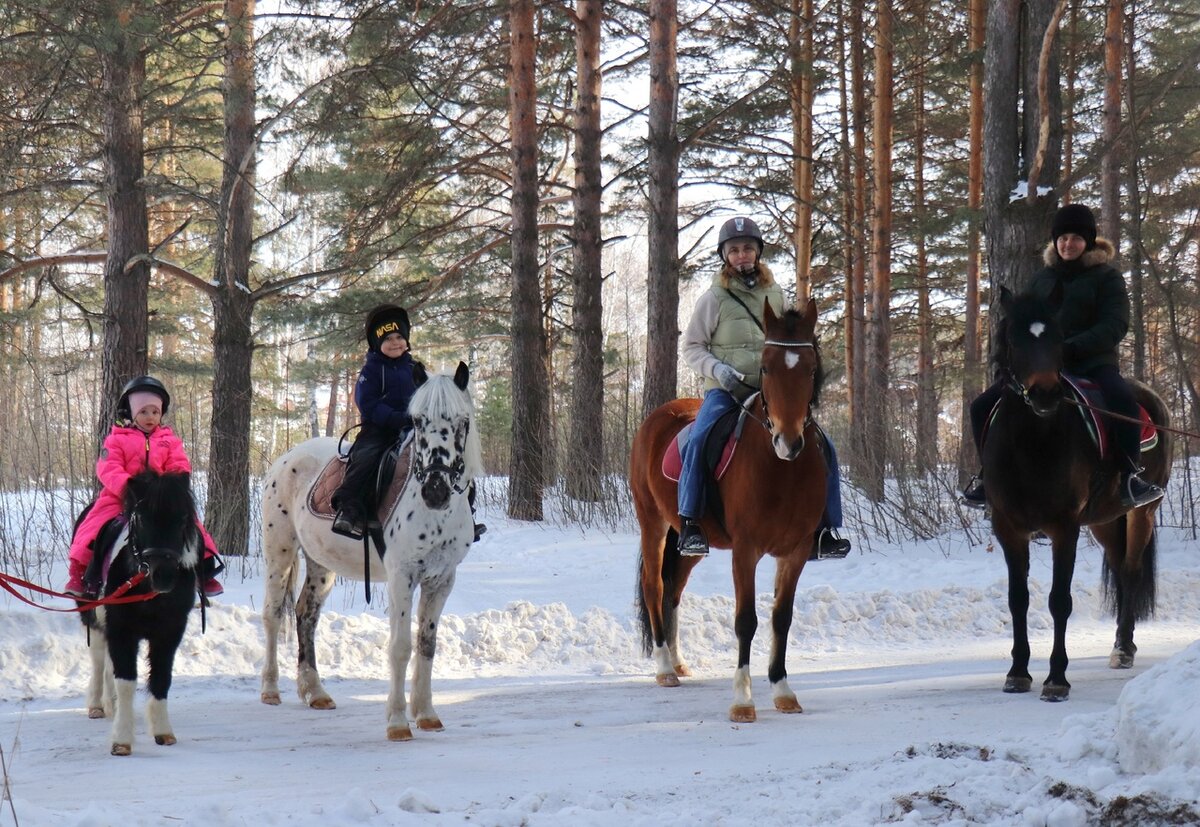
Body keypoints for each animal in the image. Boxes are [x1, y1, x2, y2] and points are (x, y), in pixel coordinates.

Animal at [260, 360, 480, 744]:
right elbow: (400, 647)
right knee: (273, 614)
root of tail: (286, 458)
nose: (435, 491)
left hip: (321, 565)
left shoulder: (442, 579)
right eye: (418, 420)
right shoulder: (401, 577)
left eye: (461, 421)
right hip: (280, 551)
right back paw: (271, 690)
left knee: (306, 615)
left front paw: (426, 714)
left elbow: (427, 644)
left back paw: (315, 692)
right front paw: (397, 722)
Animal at [628, 298, 825, 720]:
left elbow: (781, 618)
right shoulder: (745, 550)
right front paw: (743, 700)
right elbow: (746, 620)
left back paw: (678, 661)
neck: (781, 470)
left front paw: (782, 689)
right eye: (765, 366)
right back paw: (664, 667)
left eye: (811, 367)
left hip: (687, 542)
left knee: (673, 590)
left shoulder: (797, 551)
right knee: (654, 585)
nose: (788, 441)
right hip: (652, 522)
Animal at [984, 286, 1171, 700]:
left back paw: (1123, 648)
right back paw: (1122, 643)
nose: (1046, 393)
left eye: (1057, 338)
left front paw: (1056, 679)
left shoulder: (1064, 527)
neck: (1032, 444)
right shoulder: (1009, 529)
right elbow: (1018, 599)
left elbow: (1059, 601)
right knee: (1118, 567)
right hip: (1104, 520)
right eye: (1013, 339)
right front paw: (1017, 673)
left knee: (1130, 571)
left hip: (1142, 512)